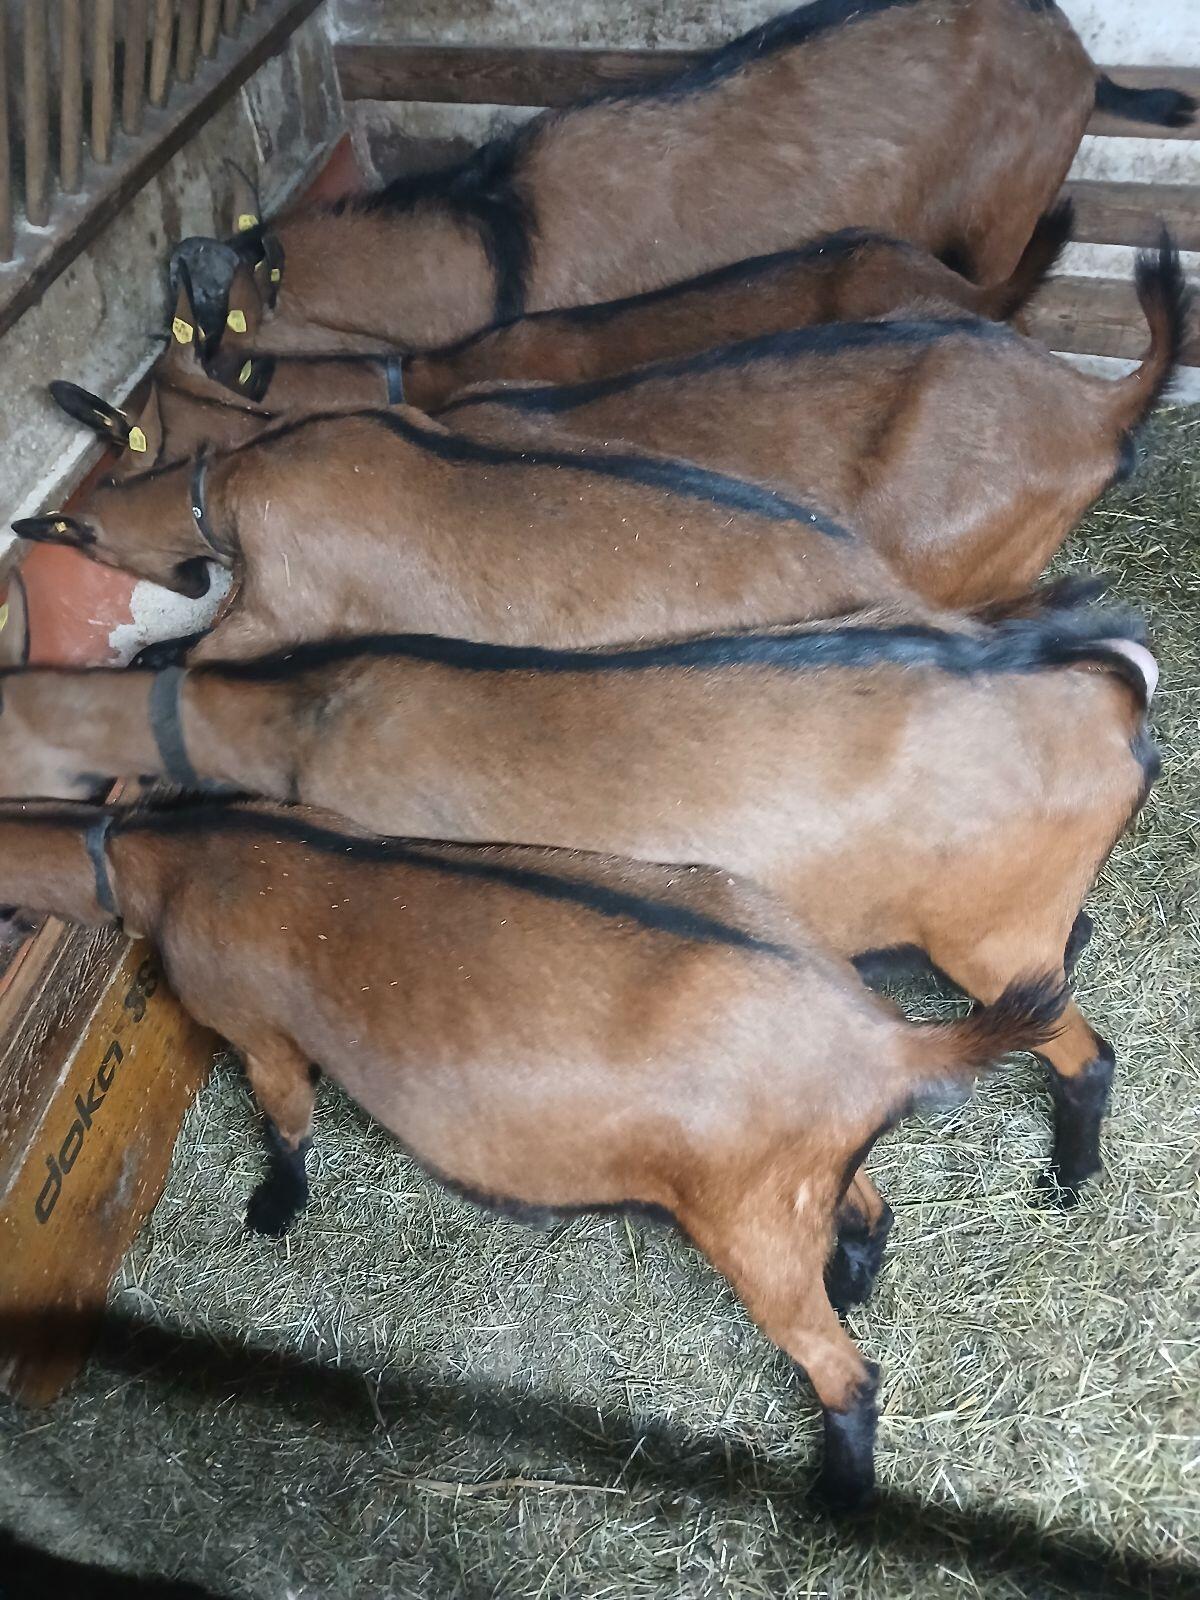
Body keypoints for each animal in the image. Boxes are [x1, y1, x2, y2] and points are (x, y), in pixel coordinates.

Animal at [0, 797, 1063, 1505]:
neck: (171, 854)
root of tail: (882, 1037)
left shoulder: (258, 1033)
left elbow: (287, 1122)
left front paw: (273, 1209)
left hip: (747, 1219)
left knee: (848, 1374)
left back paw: (836, 1497)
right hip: (794, 1181)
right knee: (870, 1210)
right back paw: (852, 1283)